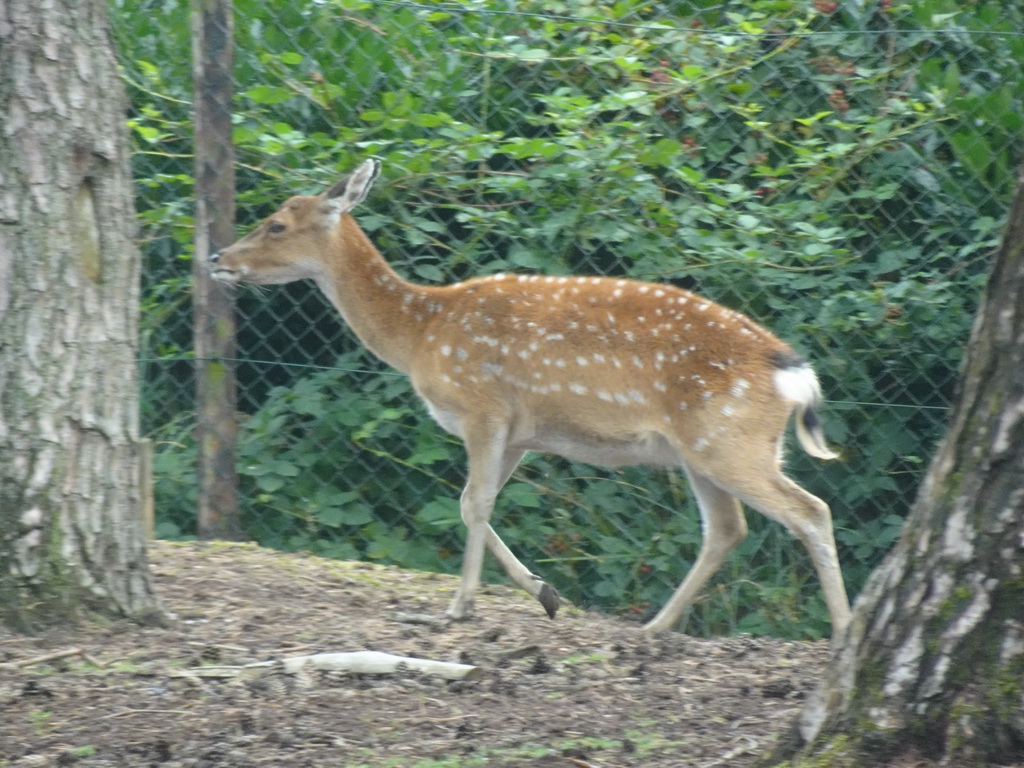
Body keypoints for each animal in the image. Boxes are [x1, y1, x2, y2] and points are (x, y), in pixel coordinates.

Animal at [209, 159, 856, 638]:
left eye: (276, 224)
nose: (218, 259)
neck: (420, 332)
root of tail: (792, 371)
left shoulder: (482, 407)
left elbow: (474, 504)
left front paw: (459, 607)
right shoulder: (520, 430)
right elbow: (472, 501)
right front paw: (546, 594)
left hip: (727, 439)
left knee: (810, 510)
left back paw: (846, 627)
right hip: (703, 449)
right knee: (728, 529)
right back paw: (654, 626)